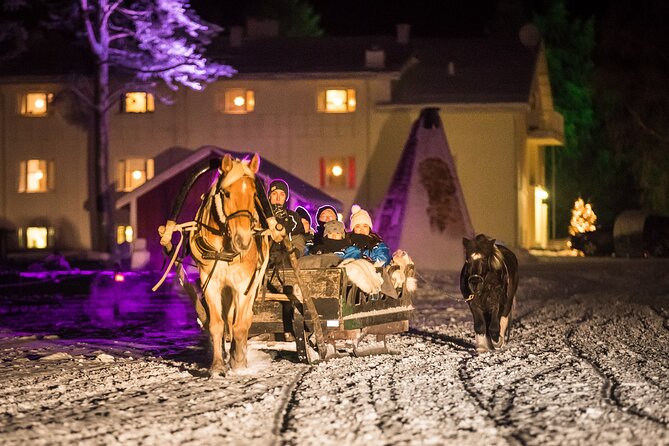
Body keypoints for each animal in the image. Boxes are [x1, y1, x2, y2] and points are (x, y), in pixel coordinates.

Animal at [185, 155, 272, 374]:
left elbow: (240, 325)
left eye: (254, 193)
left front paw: (239, 362)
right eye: (226, 193)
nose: (243, 240)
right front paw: (217, 365)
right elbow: (217, 324)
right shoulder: (211, 282)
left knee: (243, 319)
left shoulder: (244, 284)